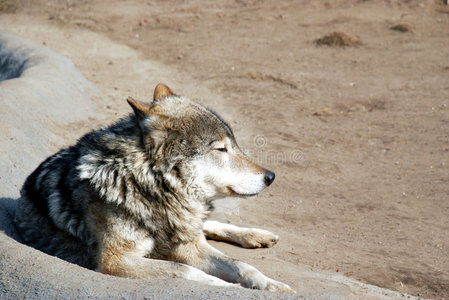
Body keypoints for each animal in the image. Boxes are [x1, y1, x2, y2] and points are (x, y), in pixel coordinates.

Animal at [14, 83, 294, 292]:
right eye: (221, 149)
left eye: (234, 145)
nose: (271, 176)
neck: (151, 189)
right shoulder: (115, 261)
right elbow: (183, 270)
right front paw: (228, 288)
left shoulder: (188, 246)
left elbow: (242, 266)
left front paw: (271, 285)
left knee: (209, 225)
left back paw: (257, 235)